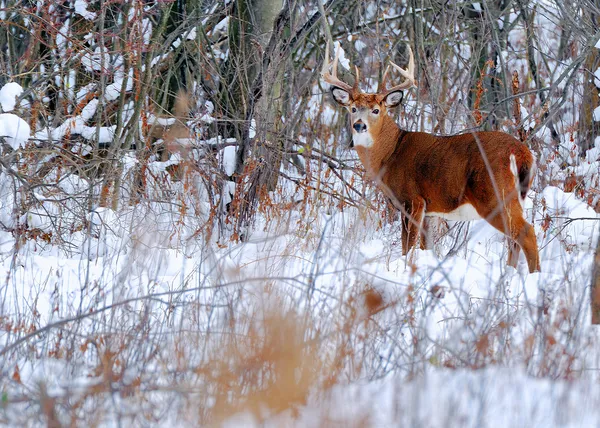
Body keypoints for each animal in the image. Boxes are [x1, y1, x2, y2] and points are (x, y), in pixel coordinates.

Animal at [322, 45, 540, 272]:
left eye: (376, 110)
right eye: (353, 108)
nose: (359, 125)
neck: (390, 153)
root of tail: (523, 153)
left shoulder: (412, 199)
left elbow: (407, 246)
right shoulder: (432, 210)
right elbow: (426, 247)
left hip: (495, 195)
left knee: (526, 233)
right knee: (514, 240)